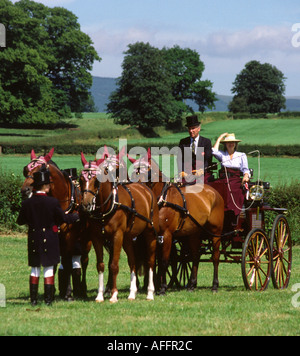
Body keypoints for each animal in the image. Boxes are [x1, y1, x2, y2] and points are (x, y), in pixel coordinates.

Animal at [79, 152, 159, 302]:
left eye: (96, 181)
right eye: (80, 180)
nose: (86, 204)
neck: (107, 206)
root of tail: (145, 189)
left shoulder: (117, 236)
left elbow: (114, 265)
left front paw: (114, 294)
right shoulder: (97, 237)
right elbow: (101, 265)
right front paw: (100, 295)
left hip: (150, 233)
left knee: (151, 261)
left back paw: (150, 292)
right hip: (127, 238)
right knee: (132, 261)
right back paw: (132, 293)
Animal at [127, 149, 224, 294]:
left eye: (146, 171)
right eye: (133, 172)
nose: (137, 188)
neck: (162, 199)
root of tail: (214, 192)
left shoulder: (167, 235)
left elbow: (164, 260)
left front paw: (162, 288)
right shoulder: (154, 235)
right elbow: (154, 260)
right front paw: (155, 285)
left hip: (215, 232)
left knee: (216, 257)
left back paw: (215, 285)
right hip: (194, 233)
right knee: (195, 256)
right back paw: (191, 284)